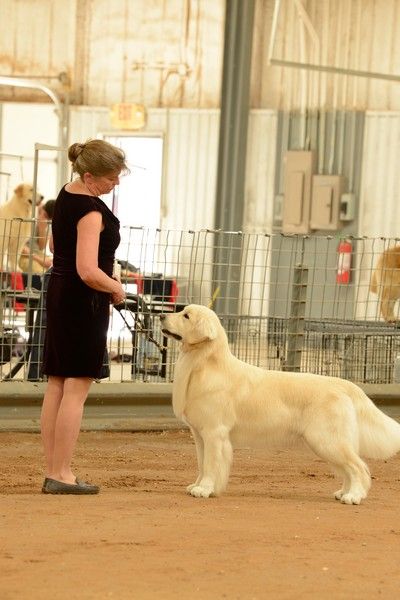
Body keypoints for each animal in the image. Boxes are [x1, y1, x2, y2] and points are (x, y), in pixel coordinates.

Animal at [160, 304, 400, 504]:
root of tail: (345, 385)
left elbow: (211, 465)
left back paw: (354, 496)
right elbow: (202, 464)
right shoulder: (200, 435)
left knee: (359, 468)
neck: (204, 364)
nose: (161, 315)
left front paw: (205, 489)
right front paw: (197, 485)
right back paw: (344, 492)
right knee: (348, 469)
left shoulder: (214, 433)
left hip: (328, 440)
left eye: (186, 316)